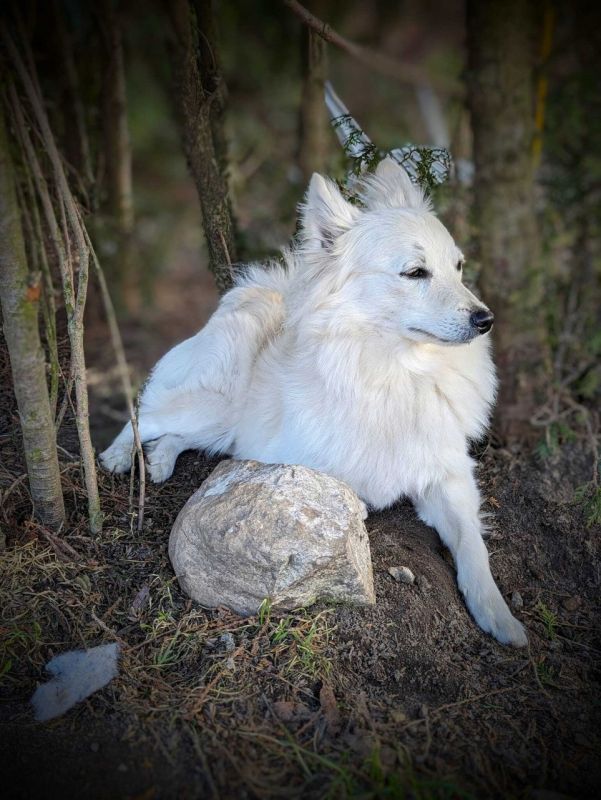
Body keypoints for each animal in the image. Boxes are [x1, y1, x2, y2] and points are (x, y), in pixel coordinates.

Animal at [100, 158, 527, 647]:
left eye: (458, 267)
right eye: (416, 273)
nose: (486, 319)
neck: (396, 372)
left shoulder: (449, 477)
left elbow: (473, 546)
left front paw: (497, 615)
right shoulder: (299, 464)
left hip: (218, 424)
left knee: (175, 433)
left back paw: (159, 461)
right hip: (212, 405)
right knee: (146, 413)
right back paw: (118, 455)